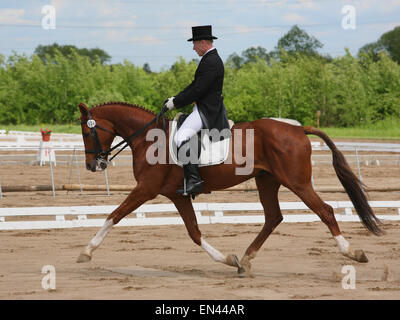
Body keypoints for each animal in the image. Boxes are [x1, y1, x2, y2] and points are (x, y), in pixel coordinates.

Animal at [76, 101, 384, 276]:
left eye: (86, 131)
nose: (93, 165)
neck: (150, 139)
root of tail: (298, 129)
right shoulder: (177, 195)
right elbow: (194, 232)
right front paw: (227, 259)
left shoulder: (145, 189)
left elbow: (114, 215)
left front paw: (87, 252)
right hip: (267, 180)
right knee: (273, 217)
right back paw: (245, 260)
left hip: (297, 182)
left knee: (325, 211)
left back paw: (353, 253)